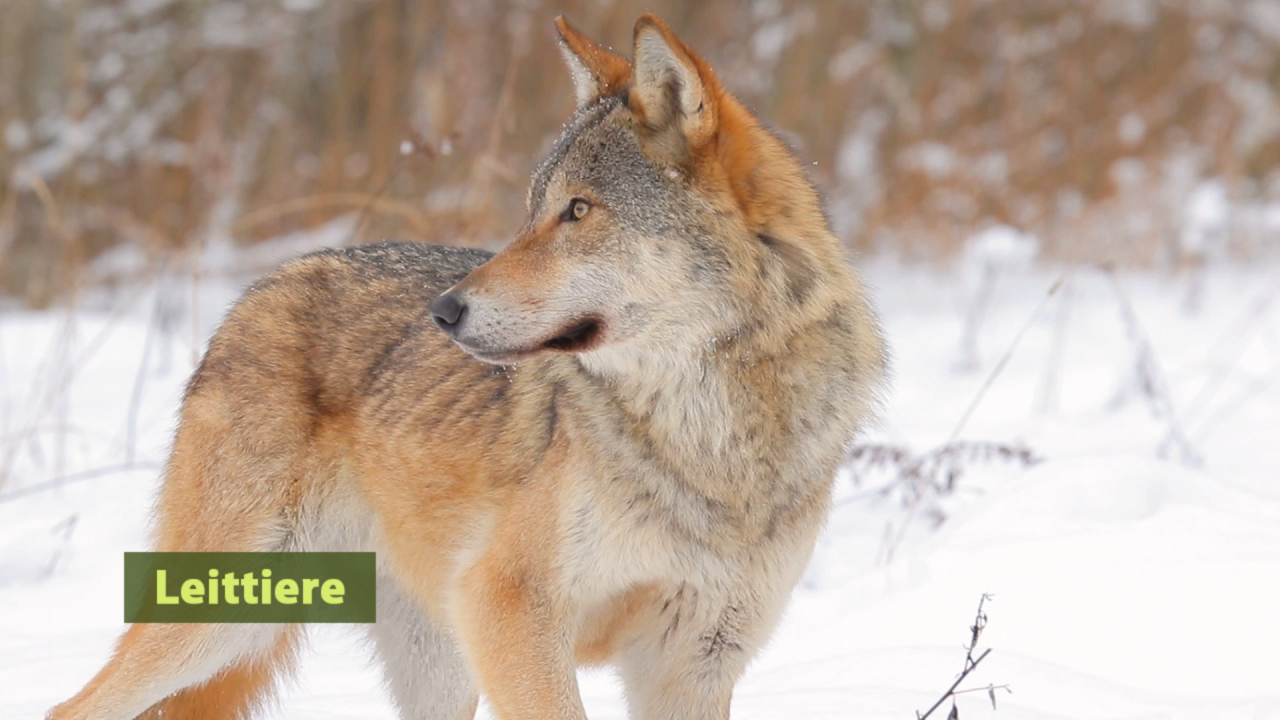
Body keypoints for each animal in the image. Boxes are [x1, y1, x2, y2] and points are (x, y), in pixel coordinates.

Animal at [49, 13, 886, 720]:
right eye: (533, 208)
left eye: (578, 211)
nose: (444, 313)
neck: (715, 440)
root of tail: (261, 287)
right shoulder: (510, 610)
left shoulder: (694, 663)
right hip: (227, 618)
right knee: (71, 707)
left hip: (429, 664)